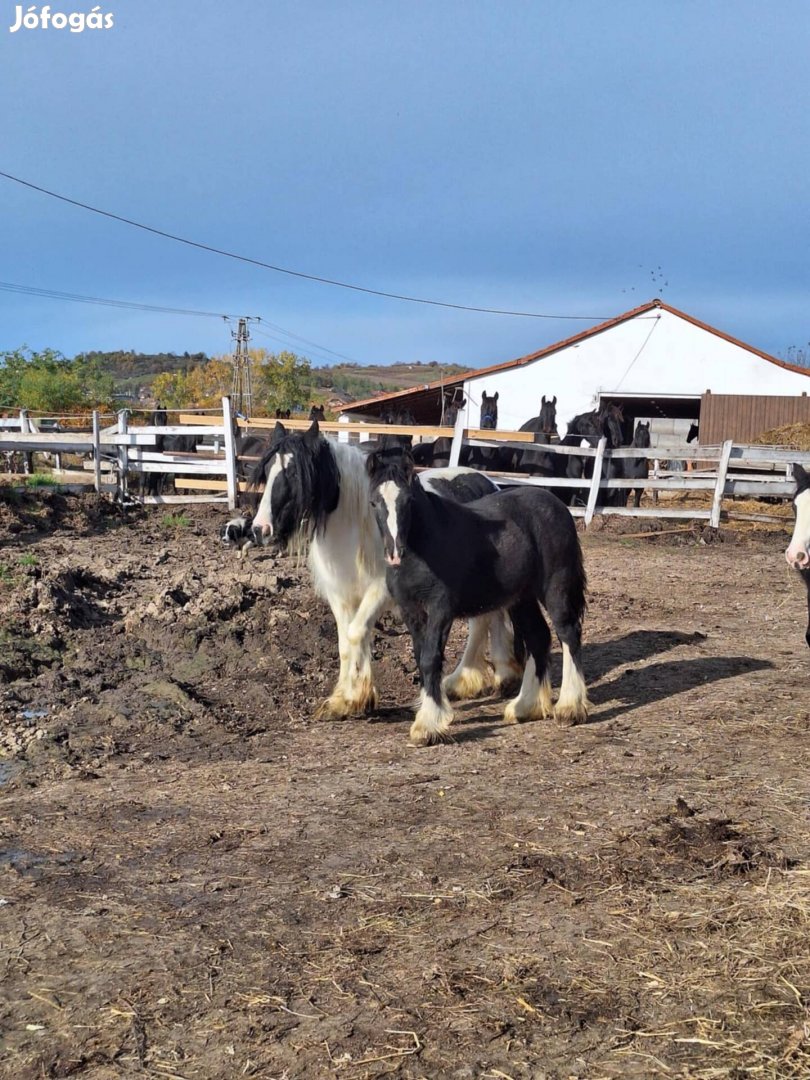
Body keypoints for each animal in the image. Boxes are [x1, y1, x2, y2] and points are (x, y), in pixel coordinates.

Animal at [250, 423, 520, 725]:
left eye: (294, 472)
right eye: (267, 471)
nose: (259, 529)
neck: (358, 524)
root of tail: (488, 483)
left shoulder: (380, 590)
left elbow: (356, 632)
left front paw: (355, 697)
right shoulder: (341, 594)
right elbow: (345, 642)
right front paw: (343, 700)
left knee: (483, 623)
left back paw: (478, 679)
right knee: (487, 619)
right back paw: (475, 679)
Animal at [367, 442, 591, 747]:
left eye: (408, 501)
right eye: (374, 502)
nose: (394, 554)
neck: (424, 547)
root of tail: (557, 505)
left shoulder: (440, 609)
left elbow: (431, 658)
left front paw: (428, 725)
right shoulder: (411, 611)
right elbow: (420, 657)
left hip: (555, 587)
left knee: (568, 633)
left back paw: (569, 708)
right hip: (521, 598)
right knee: (539, 636)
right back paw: (525, 707)